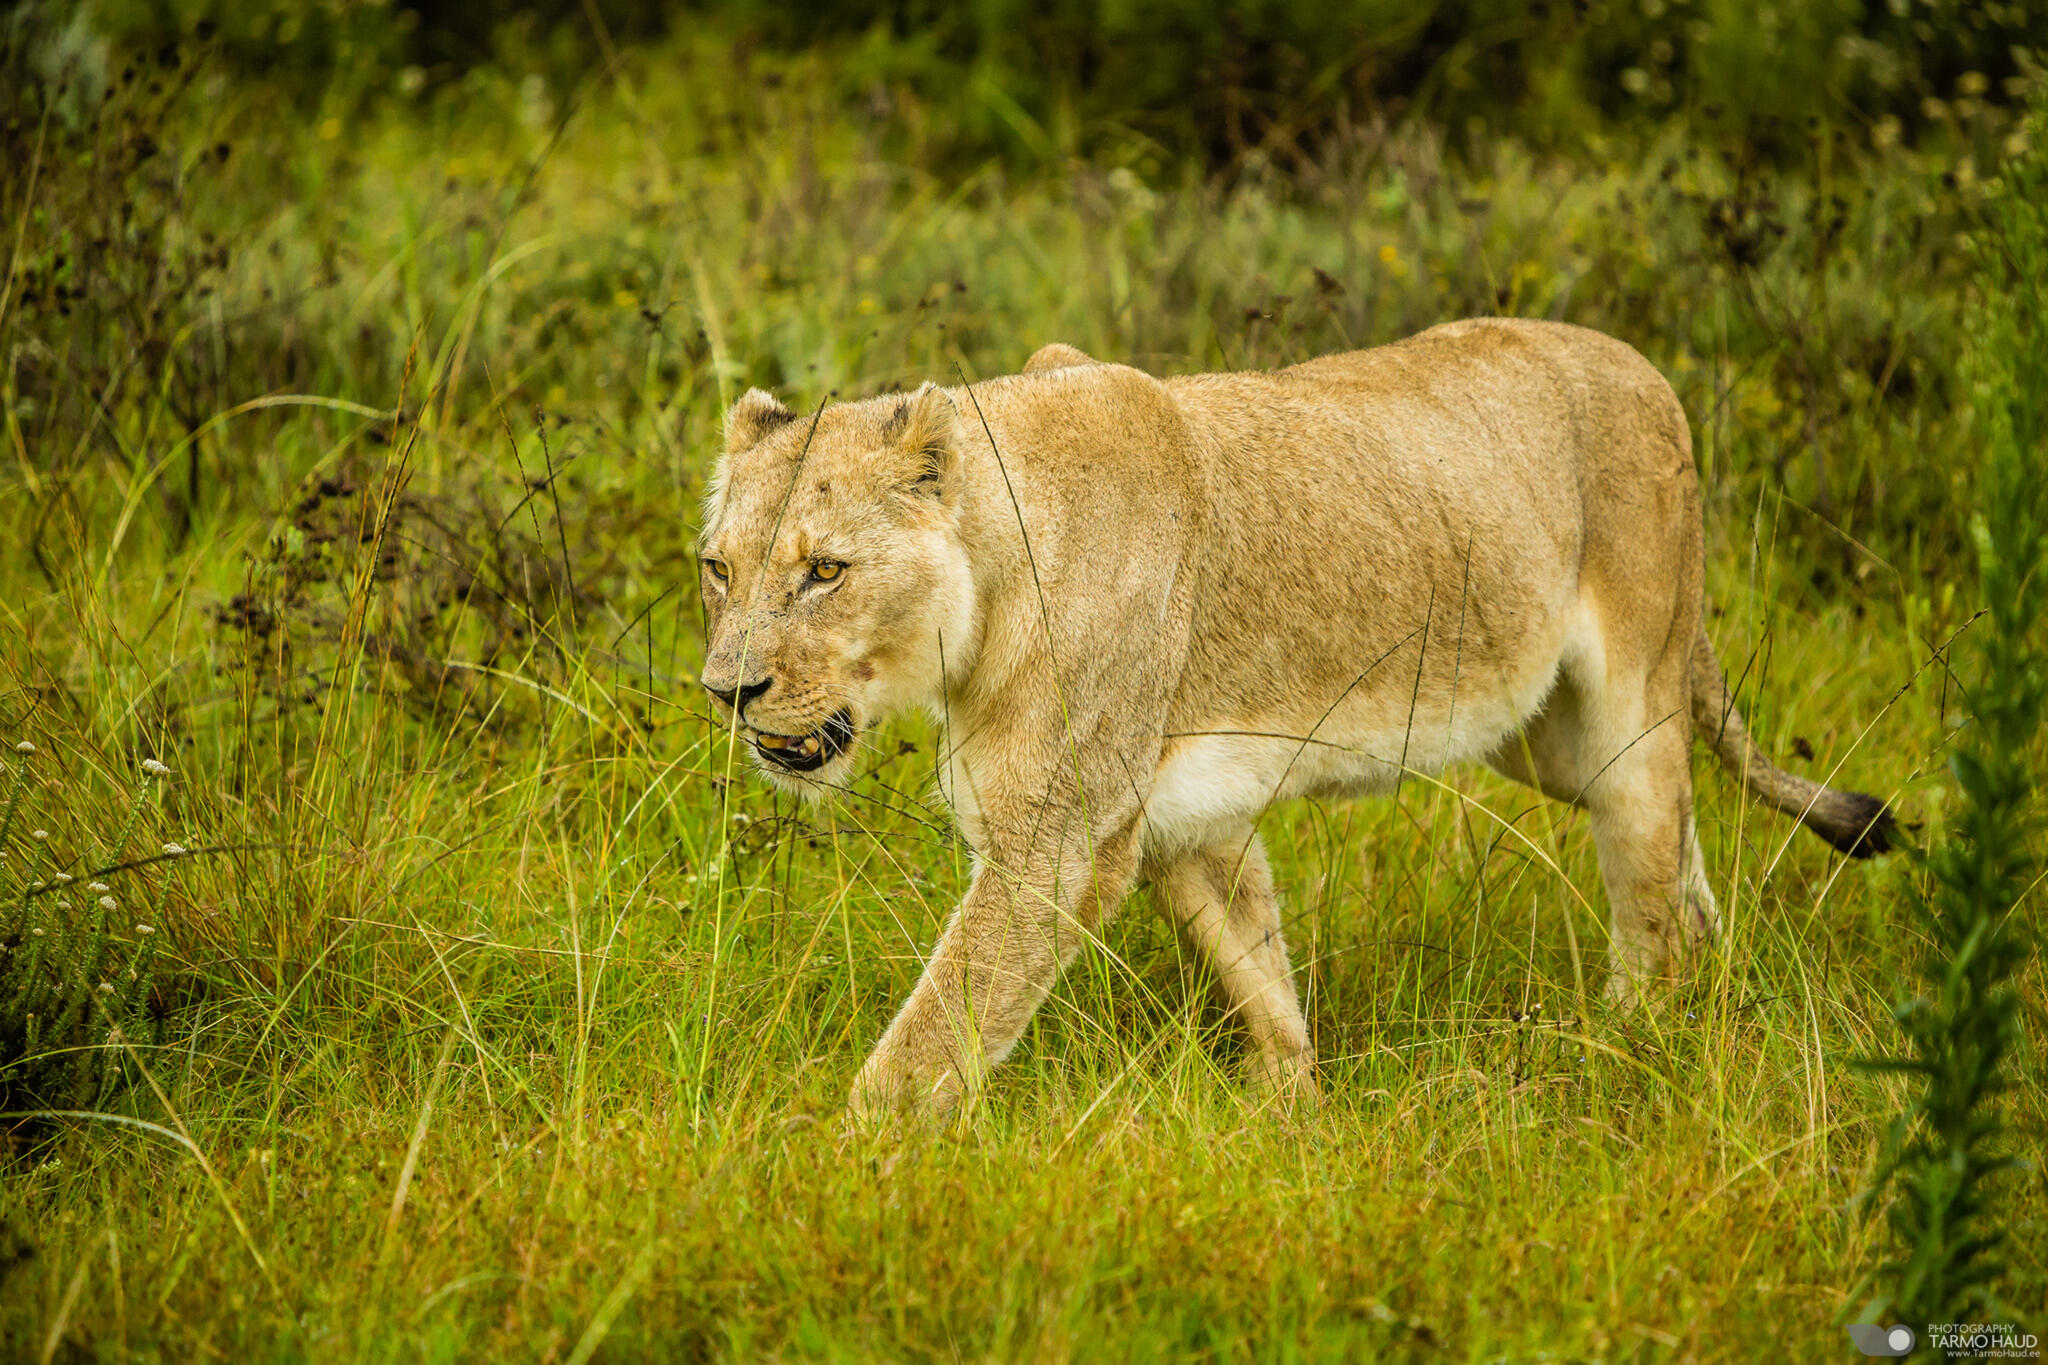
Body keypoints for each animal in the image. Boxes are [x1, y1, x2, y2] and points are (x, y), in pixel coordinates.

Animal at [696, 318, 1896, 1118]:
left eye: (823, 572)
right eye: (718, 568)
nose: (726, 690)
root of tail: (1647, 367)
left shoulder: (1057, 839)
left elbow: (936, 1027)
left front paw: (836, 1161)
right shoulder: (1176, 813)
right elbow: (1257, 968)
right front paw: (1288, 1116)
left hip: (1631, 697)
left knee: (1648, 897)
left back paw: (1631, 1047)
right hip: (1548, 740)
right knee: (1680, 844)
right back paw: (1714, 984)